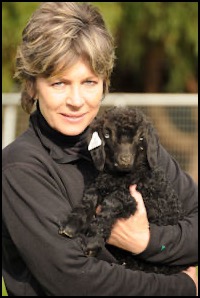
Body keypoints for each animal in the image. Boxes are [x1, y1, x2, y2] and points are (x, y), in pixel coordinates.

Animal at [59, 106, 189, 274]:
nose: (125, 160)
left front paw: (93, 242)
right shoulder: (100, 185)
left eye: (141, 138)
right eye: (107, 134)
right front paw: (71, 225)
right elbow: (88, 199)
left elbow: (113, 200)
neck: (121, 176)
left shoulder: (145, 199)